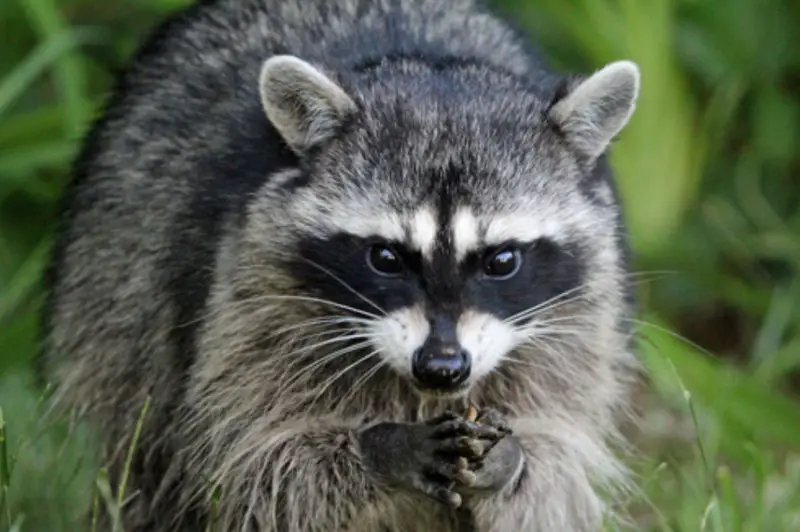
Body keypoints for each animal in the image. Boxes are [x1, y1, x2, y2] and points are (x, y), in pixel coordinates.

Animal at [40, 0, 642, 530]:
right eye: (386, 258)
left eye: (502, 260)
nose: (441, 367)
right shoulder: (249, 297)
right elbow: (251, 464)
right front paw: (383, 447)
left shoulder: (578, 323)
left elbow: (557, 472)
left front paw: (512, 458)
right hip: (114, 284)